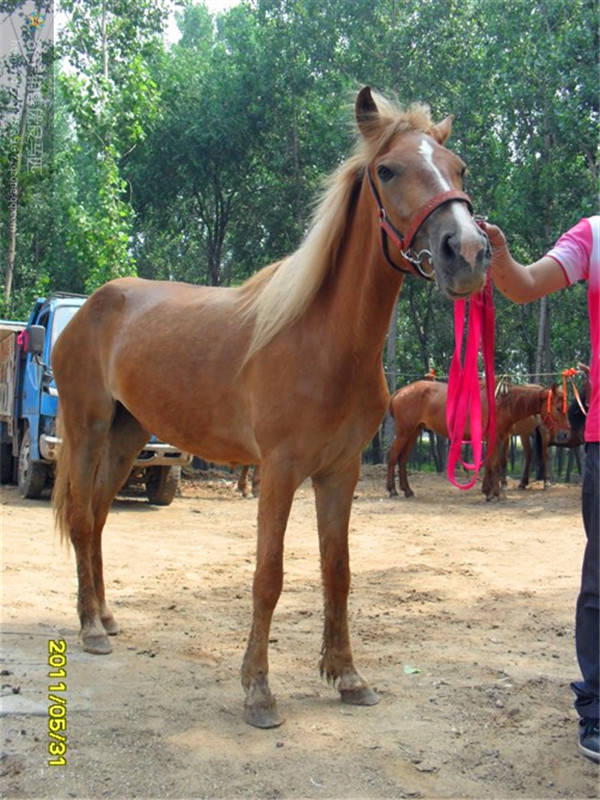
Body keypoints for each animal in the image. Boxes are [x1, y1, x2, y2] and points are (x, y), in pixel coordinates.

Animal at [52, 86, 492, 724]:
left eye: (458, 168)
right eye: (387, 170)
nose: (469, 253)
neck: (326, 340)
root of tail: (86, 309)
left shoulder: (340, 471)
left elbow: (338, 572)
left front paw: (348, 676)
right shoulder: (280, 470)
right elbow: (269, 575)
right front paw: (258, 689)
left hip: (128, 434)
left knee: (101, 518)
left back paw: (106, 616)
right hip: (87, 429)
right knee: (83, 518)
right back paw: (89, 628)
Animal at [386, 378, 568, 496]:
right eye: (558, 408)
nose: (565, 434)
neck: (502, 403)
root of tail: (400, 392)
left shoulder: (500, 438)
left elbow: (492, 464)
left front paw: (490, 490)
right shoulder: (494, 438)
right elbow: (494, 464)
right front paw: (493, 493)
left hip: (414, 432)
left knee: (402, 460)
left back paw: (407, 490)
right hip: (404, 432)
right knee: (393, 456)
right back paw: (392, 489)